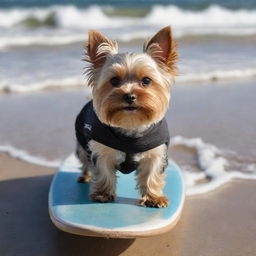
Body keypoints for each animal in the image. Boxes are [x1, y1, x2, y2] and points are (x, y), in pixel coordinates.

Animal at [75, 25, 177, 207]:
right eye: (114, 81)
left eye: (146, 80)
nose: (129, 96)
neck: (131, 124)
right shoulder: (101, 151)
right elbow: (103, 172)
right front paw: (103, 194)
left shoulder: (155, 153)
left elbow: (151, 174)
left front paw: (153, 197)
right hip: (81, 143)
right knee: (84, 160)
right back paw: (85, 176)